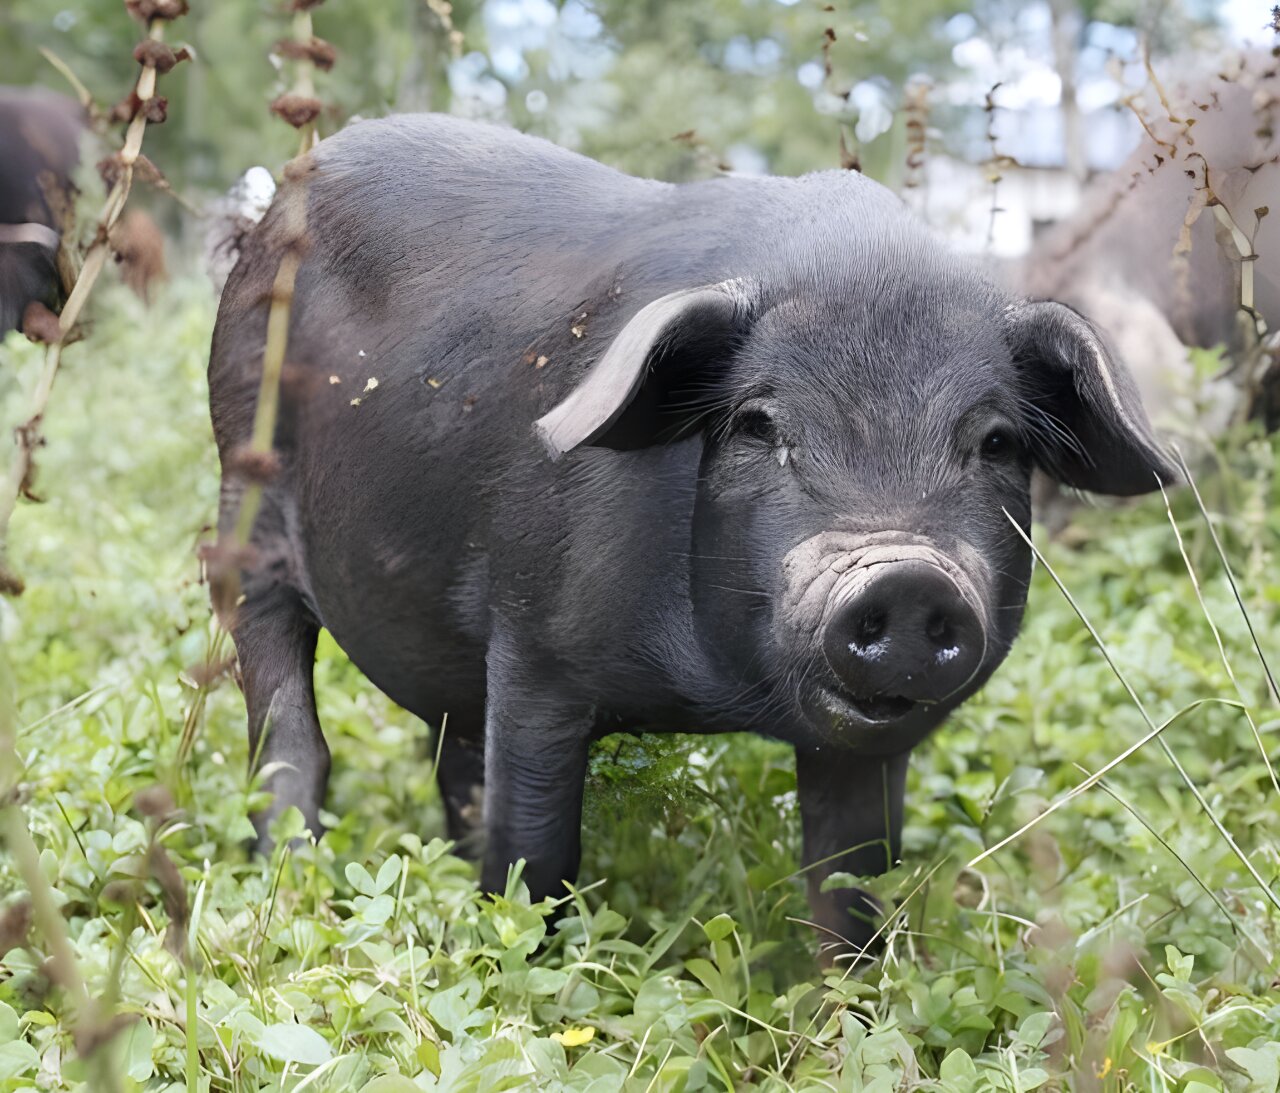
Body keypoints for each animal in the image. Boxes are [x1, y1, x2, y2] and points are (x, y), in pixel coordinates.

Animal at [207, 113, 1172, 957]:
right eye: (757, 424)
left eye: (997, 442)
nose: (905, 577)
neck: (722, 698)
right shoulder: (533, 642)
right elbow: (535, 849)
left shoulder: (868, 744)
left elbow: (851, 887)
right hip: (240, 489)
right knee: (287, 735)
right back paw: (291, 884)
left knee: (452, 756)